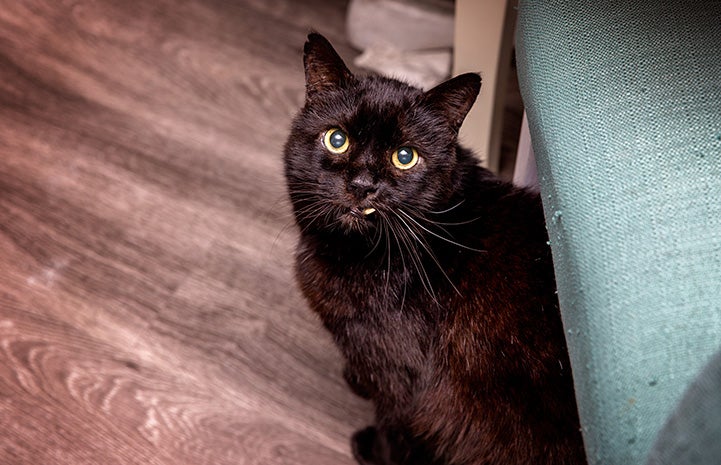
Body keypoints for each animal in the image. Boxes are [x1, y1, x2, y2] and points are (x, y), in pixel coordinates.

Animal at [282, 32, 584, 464]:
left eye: (405, 157)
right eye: (337, 140)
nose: (362, 184)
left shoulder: (406, 381)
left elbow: (395, 423)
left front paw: (373, 448)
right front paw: (357, 380)